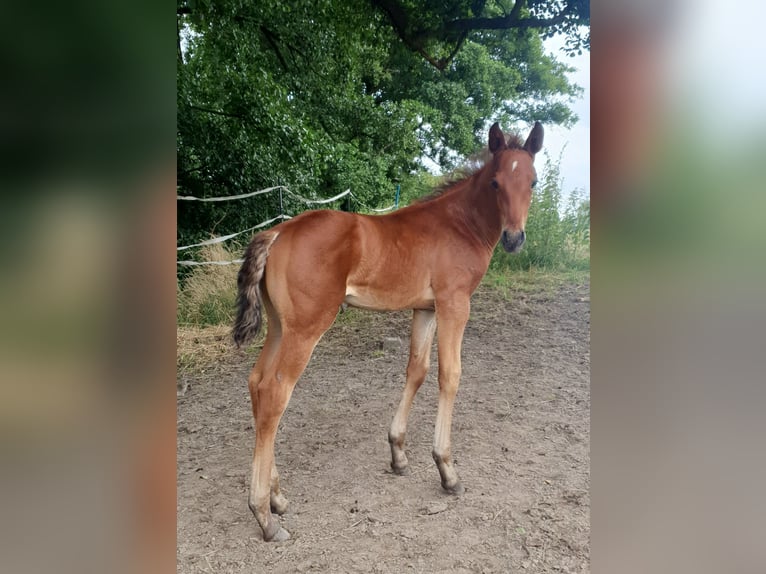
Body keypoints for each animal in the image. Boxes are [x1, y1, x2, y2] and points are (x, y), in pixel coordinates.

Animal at [237, 122, 544, 544]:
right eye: (496, 182)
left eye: (532, 181)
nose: (515, 239)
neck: (459, 224)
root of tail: (278, 233)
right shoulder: (454, 303)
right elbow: (450, 375)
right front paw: (447, 470)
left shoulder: (425, 308)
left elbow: (417, 370)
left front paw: (398, 454)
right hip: (306, 327)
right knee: (274, 392)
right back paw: (265, 516)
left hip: (281, 326)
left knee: (256, 382)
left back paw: (278, 497)